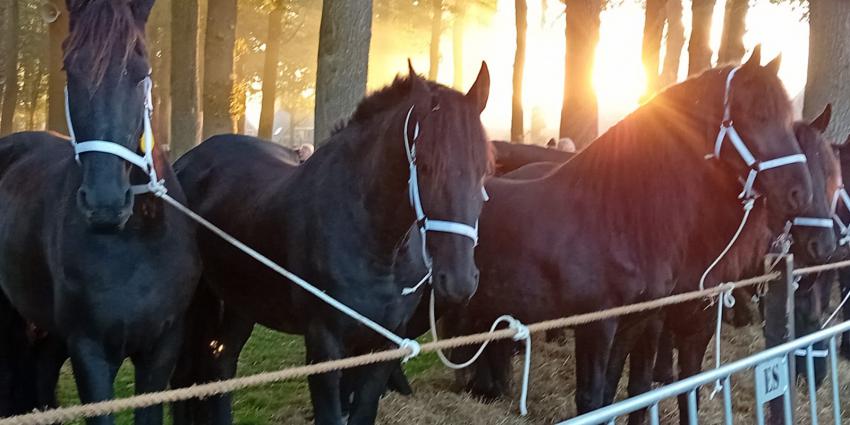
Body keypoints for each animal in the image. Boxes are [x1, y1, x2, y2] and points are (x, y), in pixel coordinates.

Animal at [0, 0, 200, 424]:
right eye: (69, 68)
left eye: (140, 68)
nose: (105, 204)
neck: (135, 245)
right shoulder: (89, 350)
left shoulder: (161, 348)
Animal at [171, 63, 490, 424]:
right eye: (424, 165)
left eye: (484, 168)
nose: (459, 280)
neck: (378, 248)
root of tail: (188, 160)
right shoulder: (324, 345)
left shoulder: (383, 345)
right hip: (199, 304)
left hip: (242, 302)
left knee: (221, 366)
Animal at [438, 48, 808, 414]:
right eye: (757, 114)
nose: (800, 193)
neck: (619, 220)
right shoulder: (597, 326)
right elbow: (591, 401)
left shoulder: (636, 322)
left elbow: (613, 394)